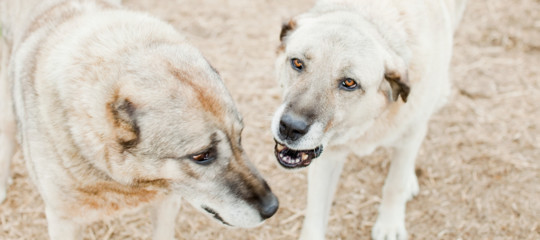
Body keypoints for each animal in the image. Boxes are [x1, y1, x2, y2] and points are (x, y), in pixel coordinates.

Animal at [272, 0, 466, 240]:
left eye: (349, 83)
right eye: (297, 63)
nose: (290, 128)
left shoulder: (410, 132)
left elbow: (395, 184)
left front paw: (390, 224)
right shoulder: (328, 157)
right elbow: (315, 213)